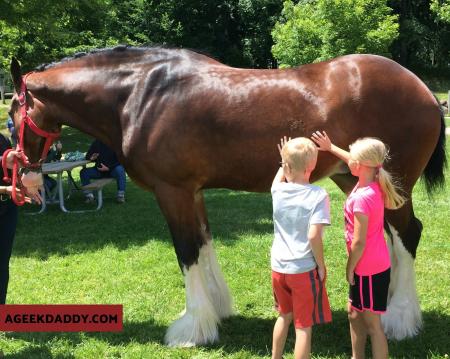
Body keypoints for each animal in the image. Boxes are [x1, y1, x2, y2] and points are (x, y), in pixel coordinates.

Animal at [7, 46, 446, 348]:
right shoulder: (193, 192)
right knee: (389, 238)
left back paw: (400, 319)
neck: (139, 95)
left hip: (393, 182)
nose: (26, 174)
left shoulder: (173, 191)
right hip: (356, 178)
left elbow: (186, 251)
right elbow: (203, 244)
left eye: (12, 115)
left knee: (408, 235)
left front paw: (191, 327)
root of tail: (424, 90)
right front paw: (216, 311)